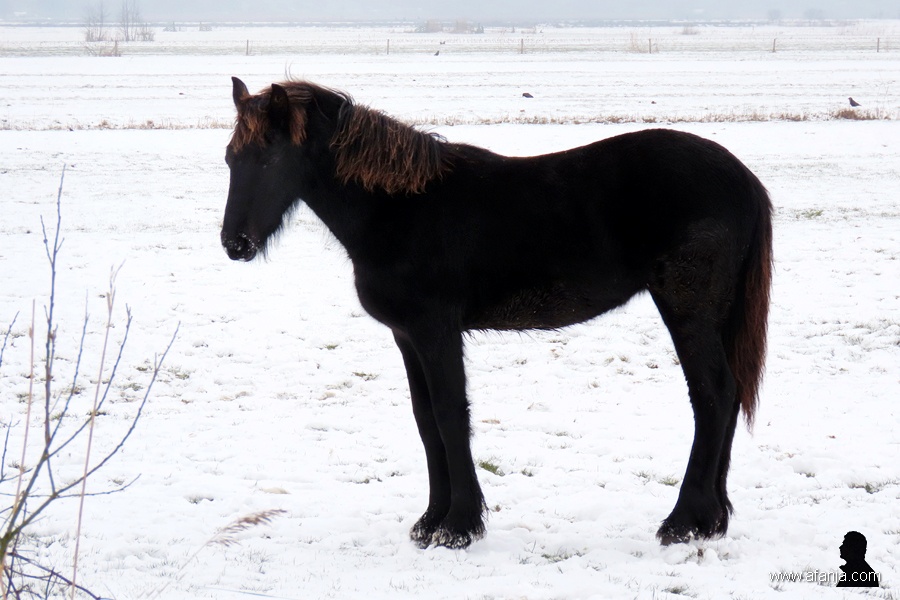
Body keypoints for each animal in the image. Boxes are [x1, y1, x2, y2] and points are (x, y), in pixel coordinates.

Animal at [221, 77, 773, 550]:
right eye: (231, 158)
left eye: (270, 157)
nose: (235, 244)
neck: (400, 209)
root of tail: (744, 180)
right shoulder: (407, 337)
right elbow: (426, 420)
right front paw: (430, 521)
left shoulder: (436, 331)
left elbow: (450, 414)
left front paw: (458, 526)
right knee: (726, 397)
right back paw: (713, 520)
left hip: (687, 309)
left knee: (713, 396)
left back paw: (683, 522)